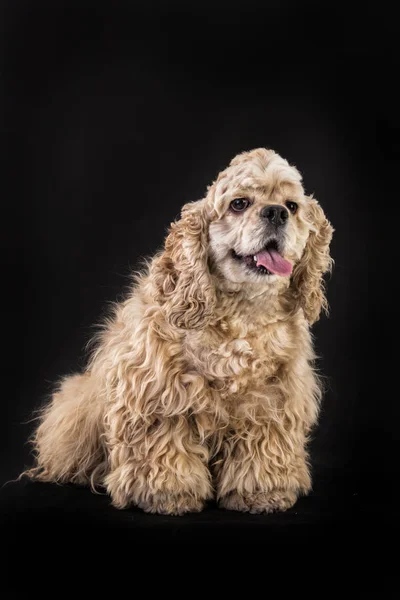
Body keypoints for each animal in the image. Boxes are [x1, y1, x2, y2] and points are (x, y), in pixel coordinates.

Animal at [23, 149, 332, 516]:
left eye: (292, 206)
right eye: (239, 203)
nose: (276, 213)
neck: (241, 313)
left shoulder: (271, 403)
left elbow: (262, 450)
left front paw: (262, 493)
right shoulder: (159, 398)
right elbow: (165, 451)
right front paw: (168, 496)